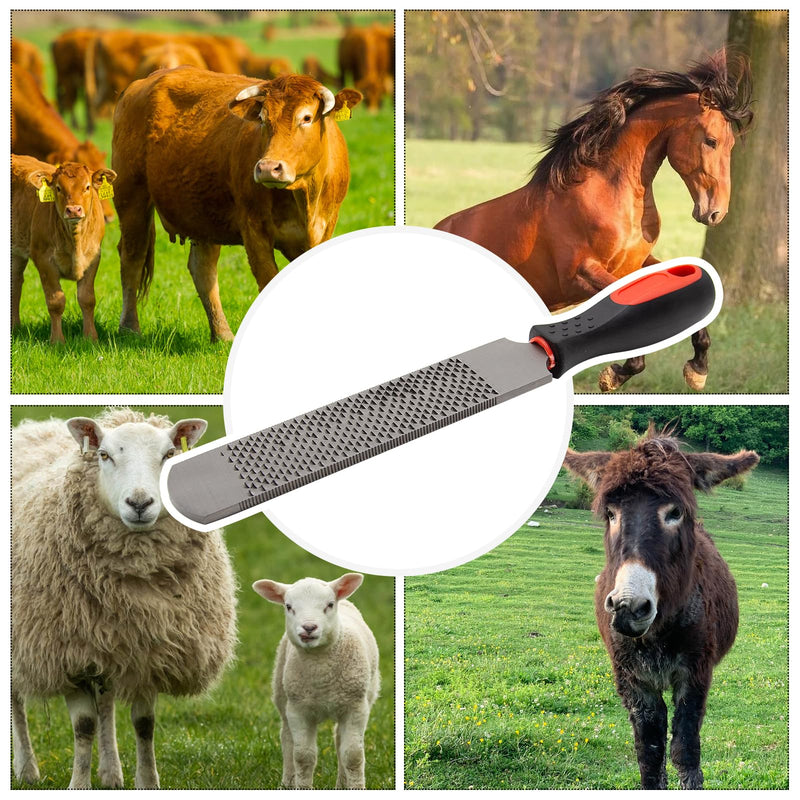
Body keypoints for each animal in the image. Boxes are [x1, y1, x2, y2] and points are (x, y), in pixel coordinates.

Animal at [12, 155, 117, 343]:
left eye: (87, 187)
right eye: (58, 188)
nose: (74, 210)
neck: (75, 242)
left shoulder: (93, 258)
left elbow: (87, 299)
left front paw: (90, 338)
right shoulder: (44, 260)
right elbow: (56, 302)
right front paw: (57, 340)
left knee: (15, 281)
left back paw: (15, 327)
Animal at [112, 68, 362, 341]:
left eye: (306, 118)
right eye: (263, 118)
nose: (268, 168)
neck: (303, 198)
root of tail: (148, 79)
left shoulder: (325, 228)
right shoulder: (254, 230)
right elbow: (268, 280)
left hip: (202, 214)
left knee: (203, 270)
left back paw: (222, 335)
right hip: (131, 198)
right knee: (132, 258)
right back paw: (129, 327)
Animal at [435, 52, 753, 391]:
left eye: (732, 145)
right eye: (711, 141)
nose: (716, 212)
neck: (607, 192)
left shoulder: (637, 263)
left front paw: (697, 369)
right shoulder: (580, 274)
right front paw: (615, 373)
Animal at [563, 430, 759, 788]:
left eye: (675, 513)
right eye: (611, 514)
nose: (628, 606)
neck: (657, 634)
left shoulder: (694, 674)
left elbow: (685, 751)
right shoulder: (633, 681)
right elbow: (650, 756)